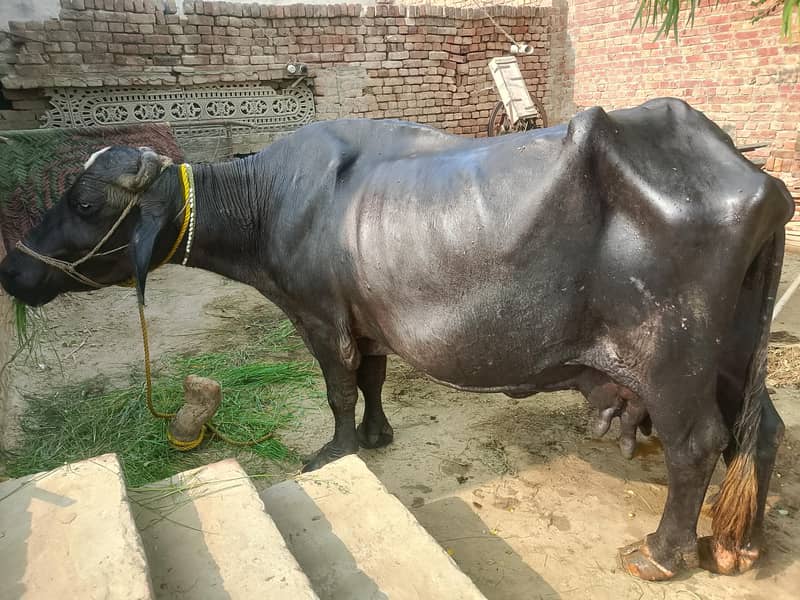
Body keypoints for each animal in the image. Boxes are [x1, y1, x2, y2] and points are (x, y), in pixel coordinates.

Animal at [0, 98, 793, 581]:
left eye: (85, 201)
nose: (13, 268)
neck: (275, 202)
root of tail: (757, 179)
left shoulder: (320, 317)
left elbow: (338, 389)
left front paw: (337, 450)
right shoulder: (367, 320)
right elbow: (375, 379)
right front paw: (379, 435)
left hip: (675, 362)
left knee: (697, 445)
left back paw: (660, 553)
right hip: (735, 355)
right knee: (762, 431)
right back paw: (738, 544)